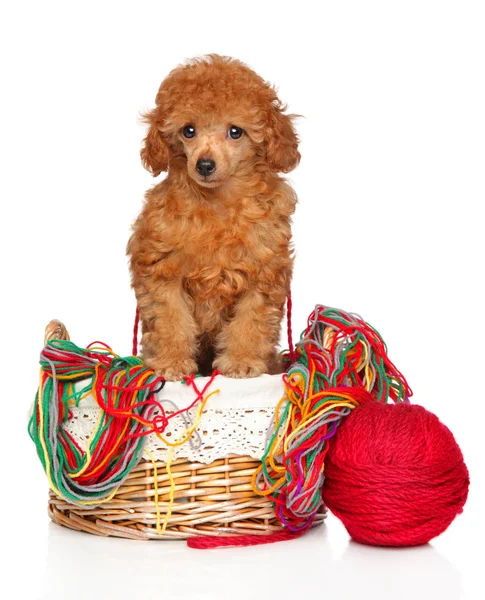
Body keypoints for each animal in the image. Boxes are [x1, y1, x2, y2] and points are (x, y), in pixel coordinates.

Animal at [125, 52, 298, 380]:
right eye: (188, 130)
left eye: (235, 132)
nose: (204, 165)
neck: (217, 203)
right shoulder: (162, 270)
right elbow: (170, 320)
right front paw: (171, 363)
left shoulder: (263, 273)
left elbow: (250, 322)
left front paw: (242, 362)